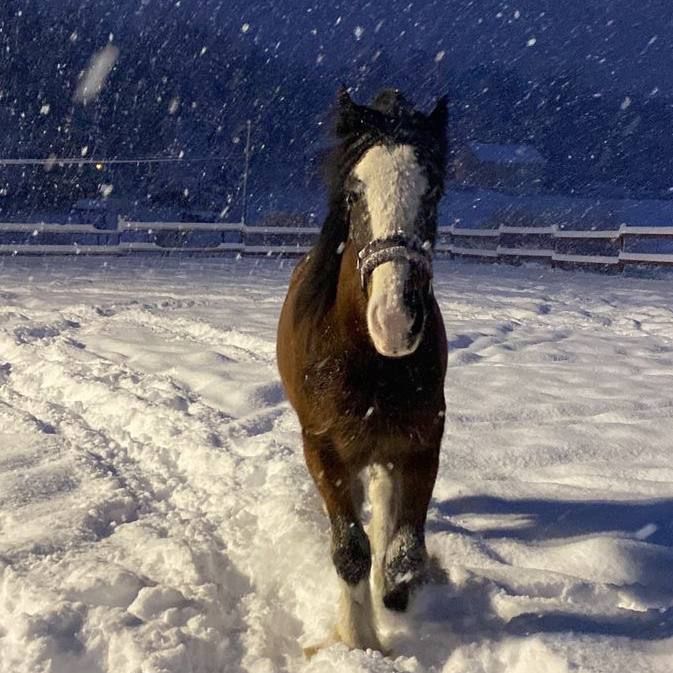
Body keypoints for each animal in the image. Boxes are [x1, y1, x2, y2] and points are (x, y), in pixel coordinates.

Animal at [276, 88, 448, 652]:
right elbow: (349, 549)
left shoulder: (421, 447)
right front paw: (359, 640)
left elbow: (403, 549)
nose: (394, 321)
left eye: (434, 195)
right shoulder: (323, 451)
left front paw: (394, 597)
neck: (372, 366)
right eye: (353, 194)